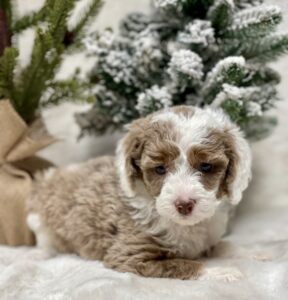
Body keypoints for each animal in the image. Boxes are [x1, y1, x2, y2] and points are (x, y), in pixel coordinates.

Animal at [27, 105, 252, 278]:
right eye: (160, 169)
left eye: (206, 167)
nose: (184, 204)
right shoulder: (130, 255)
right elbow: (184, 264)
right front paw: (221, 272)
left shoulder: (206, 239)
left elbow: (224, 245)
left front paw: (252, 252)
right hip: (40, 218)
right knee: (44, 239)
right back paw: (39, 254)